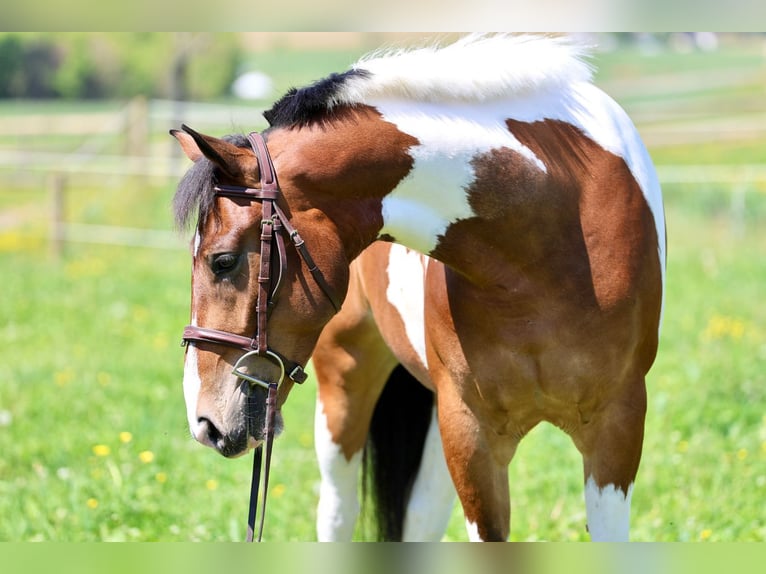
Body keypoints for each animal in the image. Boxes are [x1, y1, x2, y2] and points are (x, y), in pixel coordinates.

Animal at [171, 34, 665, 541]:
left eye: (223, 261)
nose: (204, 422)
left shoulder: (617, 428)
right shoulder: (470, 430)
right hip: (347, 380)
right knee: (340, 511)